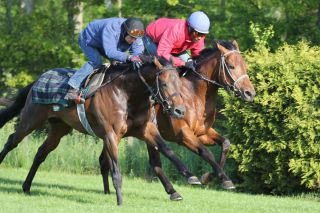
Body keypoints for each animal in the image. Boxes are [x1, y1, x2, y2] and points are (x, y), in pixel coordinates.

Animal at [0, 59, 195, 206]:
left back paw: (26, 186)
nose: (179, 111)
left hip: (59, 128)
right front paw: (120, 201)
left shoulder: (146, 130)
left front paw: (189, 176)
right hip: (31, 120)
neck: (127, 94)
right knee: (11, 141)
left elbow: (167, 150)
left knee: (41, 153)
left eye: (179, 84)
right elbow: (115, 169)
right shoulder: (111, 135)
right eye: (164, 83)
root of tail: (37, 80)